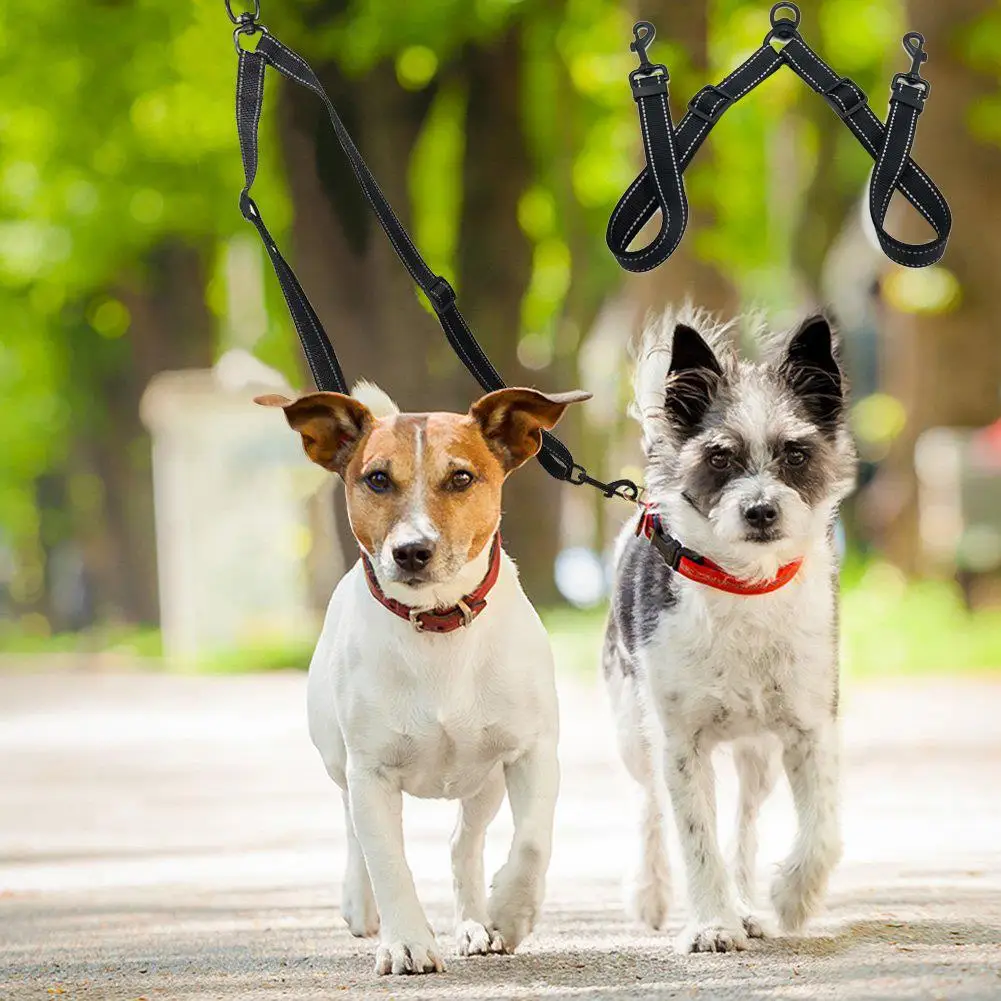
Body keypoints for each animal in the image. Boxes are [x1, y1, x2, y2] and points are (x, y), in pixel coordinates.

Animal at [254, 378, 588, 972]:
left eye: (461, 477)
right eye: (377, 479)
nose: (412, 551)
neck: (437, 623)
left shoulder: (532, 753)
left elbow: (531, 842)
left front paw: (511, 912)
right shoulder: (371, 771)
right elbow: (388, 861)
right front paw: (407, 940)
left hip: (484, 782)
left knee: (464, 843)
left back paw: (476, 924)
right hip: (339, 761)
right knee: (354, 831)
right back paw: (362, 905)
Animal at [604, 304, 856, 952]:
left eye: (795, 454)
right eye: (719, 457)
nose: (760, 510)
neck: (745, 587)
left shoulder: (811, 729)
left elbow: (824, 831)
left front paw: (790, 897)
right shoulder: (680, 743)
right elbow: (695, 838)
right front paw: (712, 923)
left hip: (756, 755)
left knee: (743, 826)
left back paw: (747, 903)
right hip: (632, 728)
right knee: (649, 807)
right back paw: (653, 891)